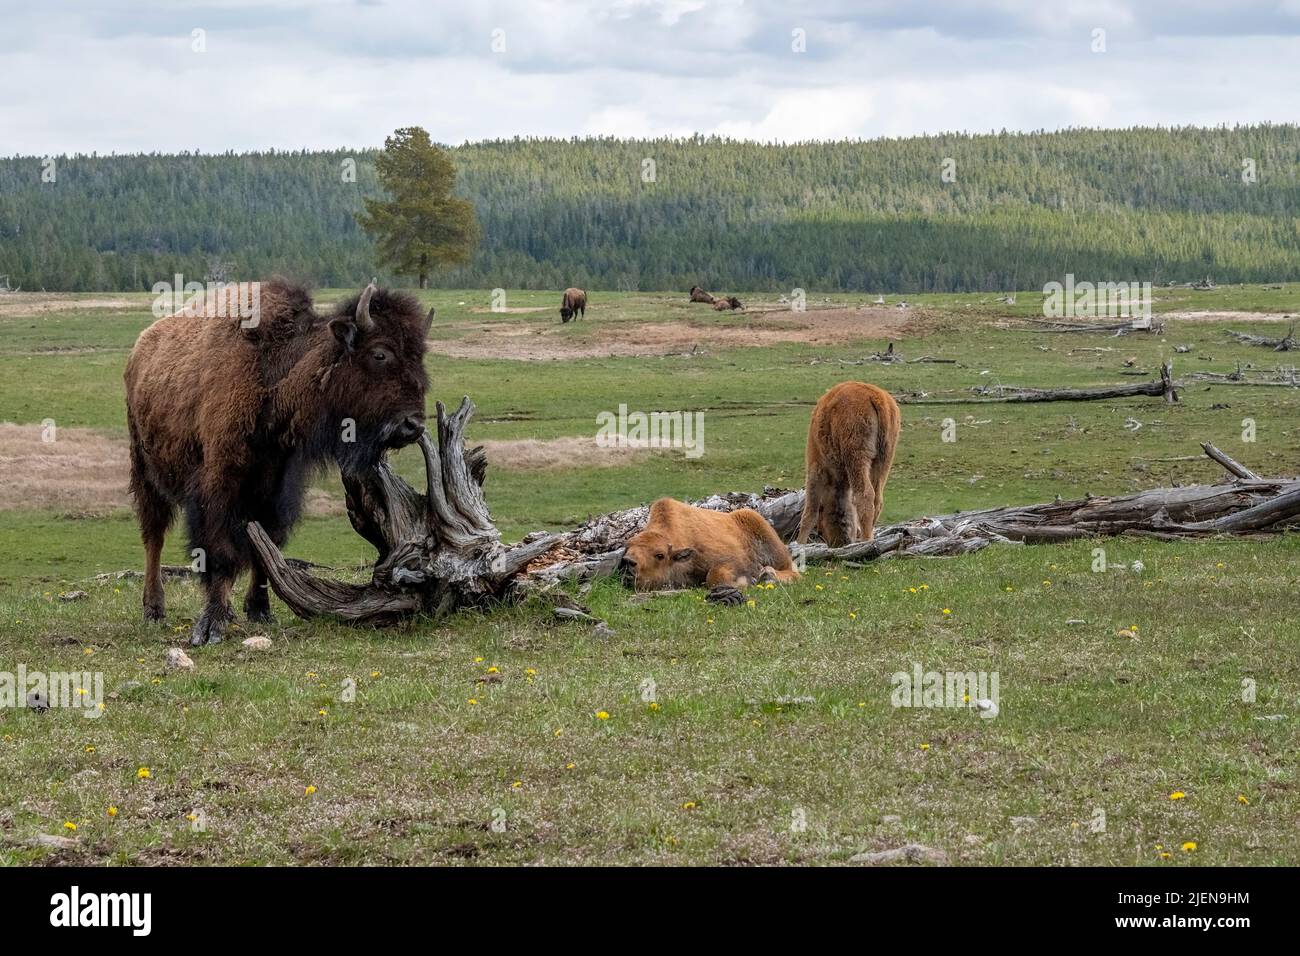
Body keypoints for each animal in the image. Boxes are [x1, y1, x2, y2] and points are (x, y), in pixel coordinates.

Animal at [124, 279, 433, 645]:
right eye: (380, 353)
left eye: (419, 356)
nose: (413, 425)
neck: (272, 374)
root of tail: (140, 349)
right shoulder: (219, 483)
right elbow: (220, 551)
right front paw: (211, 626)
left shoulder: (277, 487)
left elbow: (267, 545)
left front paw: (259, 611)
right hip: (144, 468)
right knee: (153, 535)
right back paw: (153, 610)